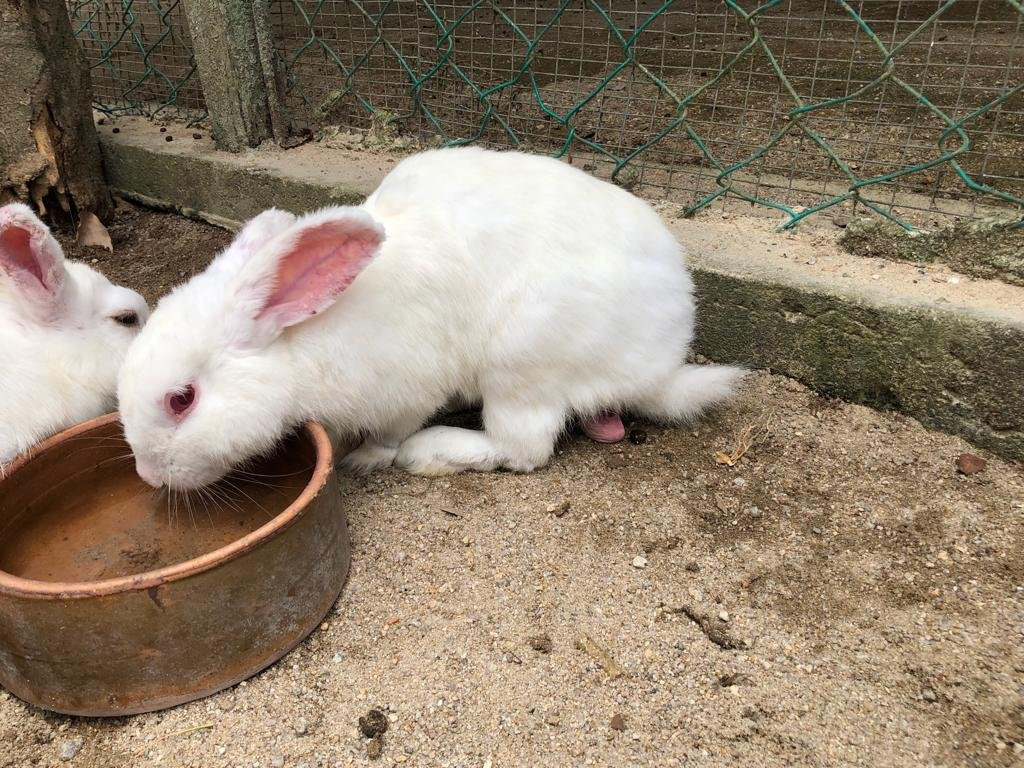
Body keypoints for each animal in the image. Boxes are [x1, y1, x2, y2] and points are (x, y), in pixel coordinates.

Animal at [117, 146, 742, 490]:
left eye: (181, 399)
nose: (147, 475)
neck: (299, 344)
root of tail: (662, 365)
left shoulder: (405, 388)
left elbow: (389, 434)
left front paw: (363, 460)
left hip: (521, 361)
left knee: (523, 448)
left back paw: (433, 452)